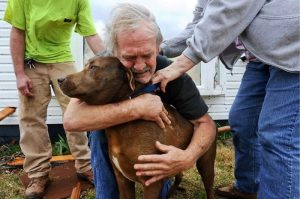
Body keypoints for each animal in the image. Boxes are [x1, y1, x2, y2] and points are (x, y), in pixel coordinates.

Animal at [57, 56, 216, 199]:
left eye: (93, 67)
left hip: (205, 163)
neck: (121, 127)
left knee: (209, 188)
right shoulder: (122, 180)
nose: (60, 79)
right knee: (180, 174)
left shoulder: (151, 182)